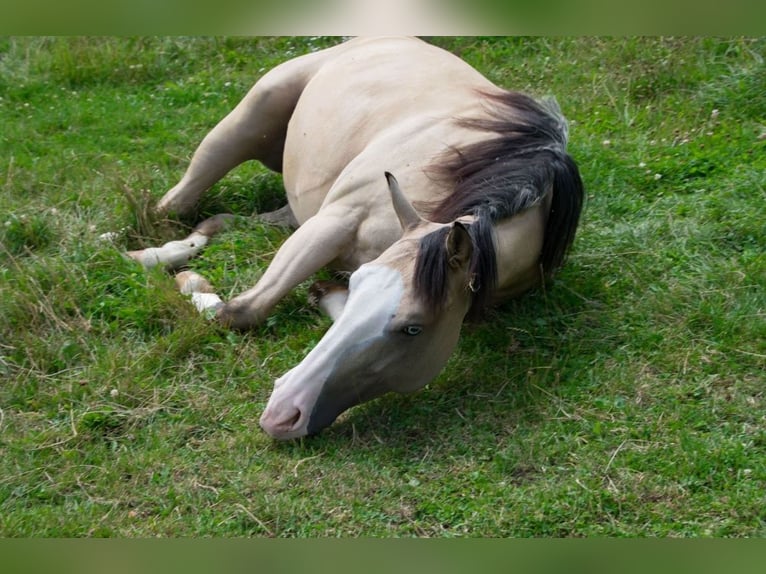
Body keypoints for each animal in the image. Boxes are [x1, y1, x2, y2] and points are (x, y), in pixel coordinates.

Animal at [126, 36, 584, 440]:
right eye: (361, 282)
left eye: (413, 329)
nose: (283, 412)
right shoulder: (334, 221)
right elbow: (242, 310)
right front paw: (193, 285)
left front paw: (321, 293)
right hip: (244, 131)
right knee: (174, 207)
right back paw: (141, 252)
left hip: (295, 209)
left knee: (219, 221)